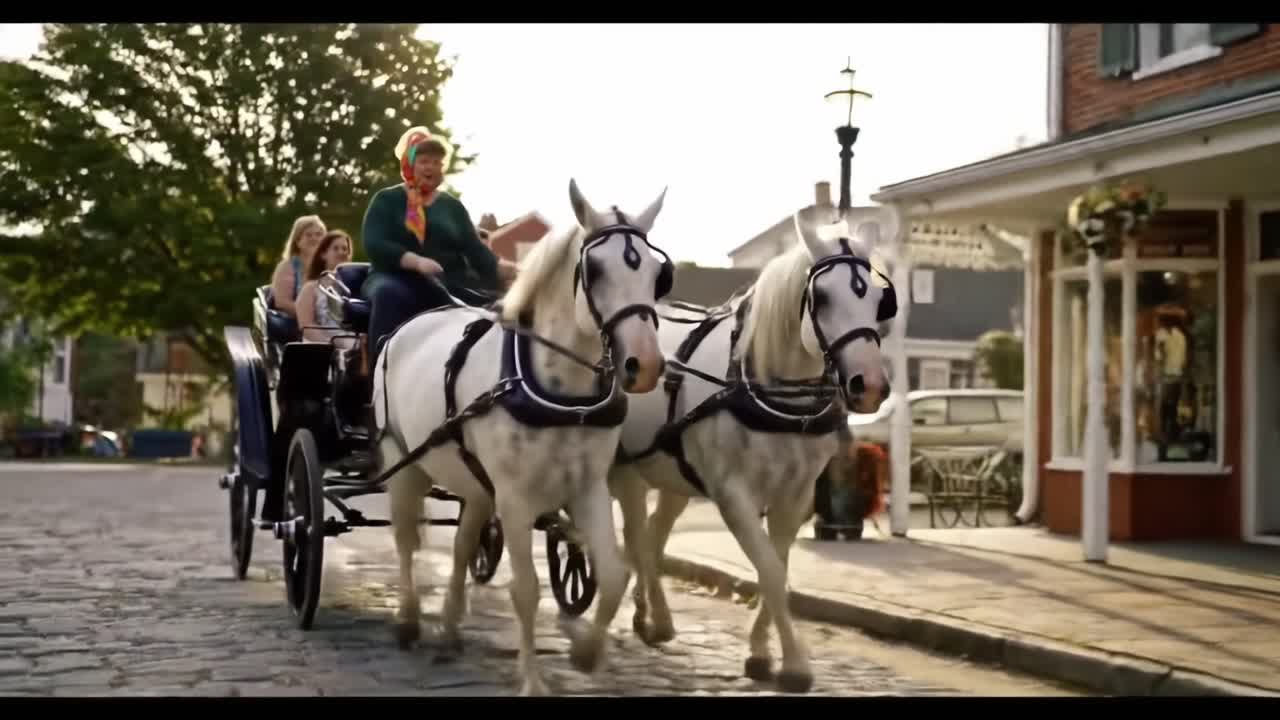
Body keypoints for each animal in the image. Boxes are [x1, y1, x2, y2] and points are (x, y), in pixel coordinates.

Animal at [376, 179, 673, 696]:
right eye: (594, 269)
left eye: (658, 274)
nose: (646, 365)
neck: (565, 394)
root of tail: (405, 328)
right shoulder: (515, 497)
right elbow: (526, 589)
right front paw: (533, 680)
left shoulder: (588, 488)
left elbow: (614, 574)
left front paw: (586, 653)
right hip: (403, 461)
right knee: (406, 541)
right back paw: (410, 619)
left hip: (475, 484)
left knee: (461, 545)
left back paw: (449, 627)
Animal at [609, 214, 897, 694]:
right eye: (821, 296)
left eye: (879, 299)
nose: (869, 385)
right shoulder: (734, 496)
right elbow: (771, 571)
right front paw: (795, 664)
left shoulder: (795, 496)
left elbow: (776, 567)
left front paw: (762, 653)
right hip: (627, 471)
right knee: (635, 536)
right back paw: (646, 615)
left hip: (674, 477)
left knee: (651, 535)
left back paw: (654, 615)